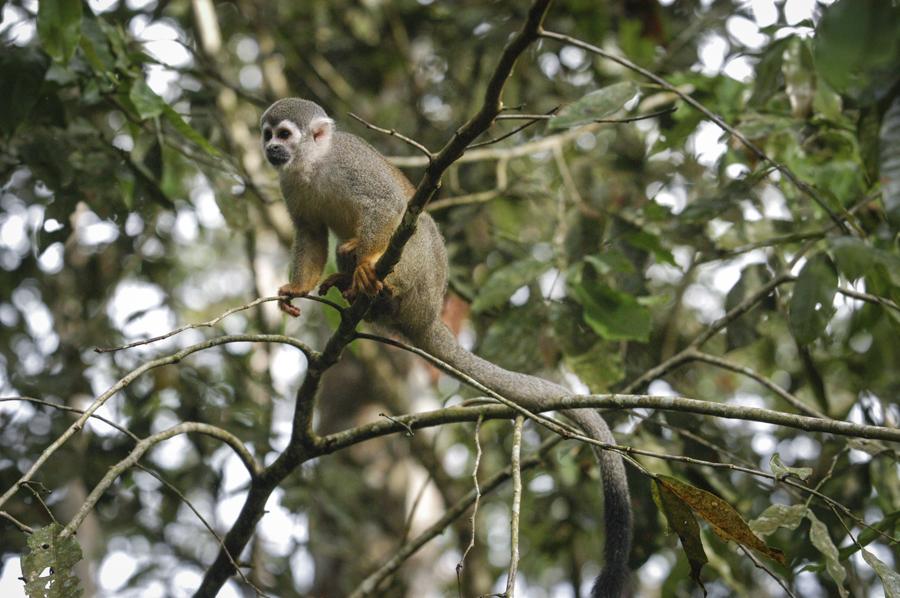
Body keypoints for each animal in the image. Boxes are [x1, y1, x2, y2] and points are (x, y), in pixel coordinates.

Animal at [262, 99, 632, 598]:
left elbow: (385, 206)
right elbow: (310, 233)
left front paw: (369, 260)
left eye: (284, 133)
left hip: (423, 279)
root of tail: (427, 315)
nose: (272, 149)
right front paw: (296, 289)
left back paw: (375, 279)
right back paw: (351, 282)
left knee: (411, 226)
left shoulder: (350, 165)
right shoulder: (290, 187)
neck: (311, 166)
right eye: (267, 135)